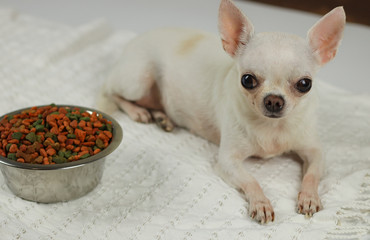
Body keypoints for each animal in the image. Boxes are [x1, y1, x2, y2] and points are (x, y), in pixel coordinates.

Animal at [98, 0, 344, 223]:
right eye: (247, 80)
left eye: (304, 84)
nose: (274, 100)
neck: (272, 128)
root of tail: (133, 41)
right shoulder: (228, 161)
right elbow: (251, 180)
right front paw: (261, 203)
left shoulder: (315, 152)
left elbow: (312, 175)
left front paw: (309, 198)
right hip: (137, 80)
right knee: (112, 92)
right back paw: (137, 111)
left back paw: (161, 117)